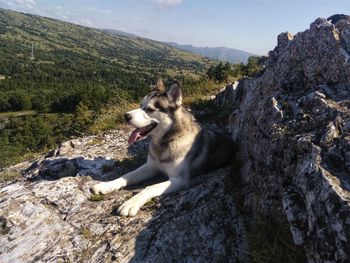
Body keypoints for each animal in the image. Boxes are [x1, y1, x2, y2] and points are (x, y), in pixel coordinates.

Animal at [90, 78, 234, 217]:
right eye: (140, 105)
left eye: (149, 109)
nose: (126, 116)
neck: (165, 142)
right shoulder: (151, 166)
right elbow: (127, 175)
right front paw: (107, 185)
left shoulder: (179, 179)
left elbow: (150, 188)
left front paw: (131, 203)